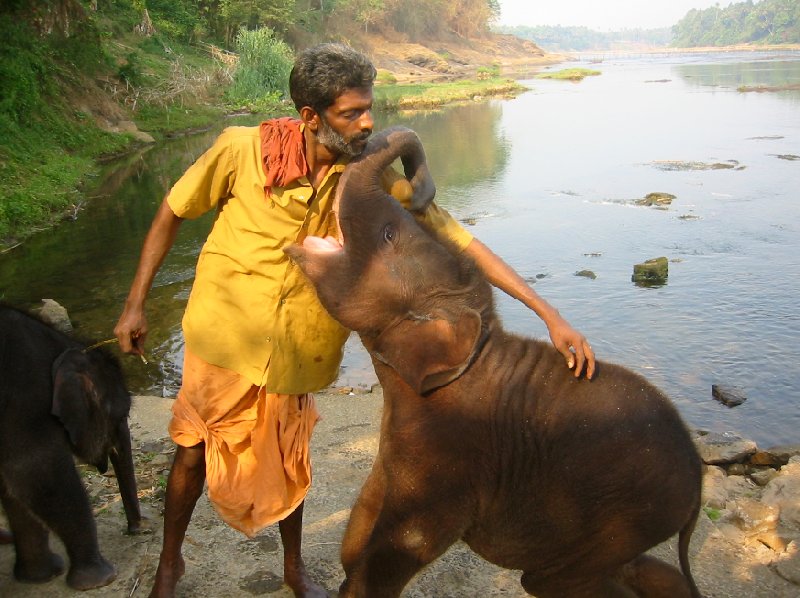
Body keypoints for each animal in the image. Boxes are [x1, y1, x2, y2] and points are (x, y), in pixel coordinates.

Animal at [0, 304, 142, 592]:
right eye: (121, 415)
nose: (136, 529)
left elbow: (15, 490)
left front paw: (41, 576)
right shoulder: (25, 405)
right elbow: (39, 475)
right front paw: (100, 579)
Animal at [284, 127, 704, 598]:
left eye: (389, 235)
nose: (415, 187)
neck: (477, 342)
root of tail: (699, 481)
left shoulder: (451, 459)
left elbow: (403, 548)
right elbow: (357, 534)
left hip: (629, 517)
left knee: (553, 580)